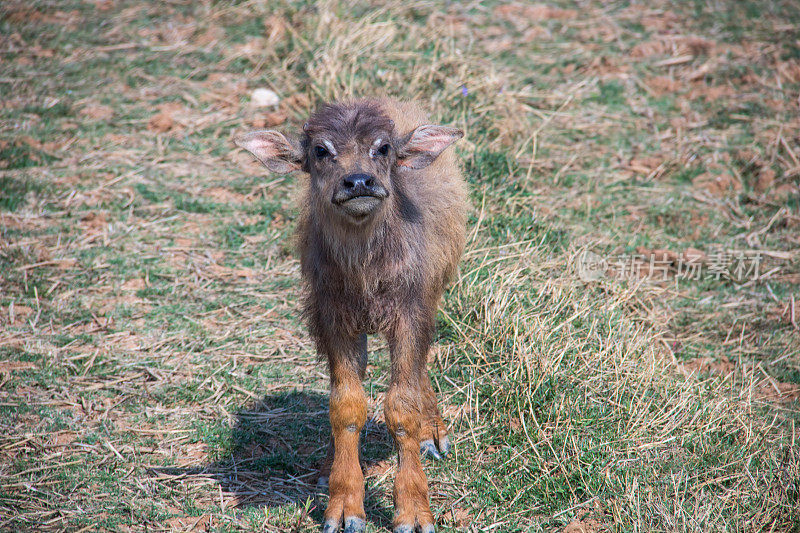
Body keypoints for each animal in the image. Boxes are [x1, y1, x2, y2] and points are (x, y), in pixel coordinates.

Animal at [234, 97, 466, 528]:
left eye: (383, 148)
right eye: (320, 151)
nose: (358, 182)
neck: (365, 274)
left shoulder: (410, 314)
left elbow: (402, 406)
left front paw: (413, 511)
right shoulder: (334, 321)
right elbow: (346, 406)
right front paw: (344, 506)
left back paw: (433, 433)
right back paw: (328, 466)